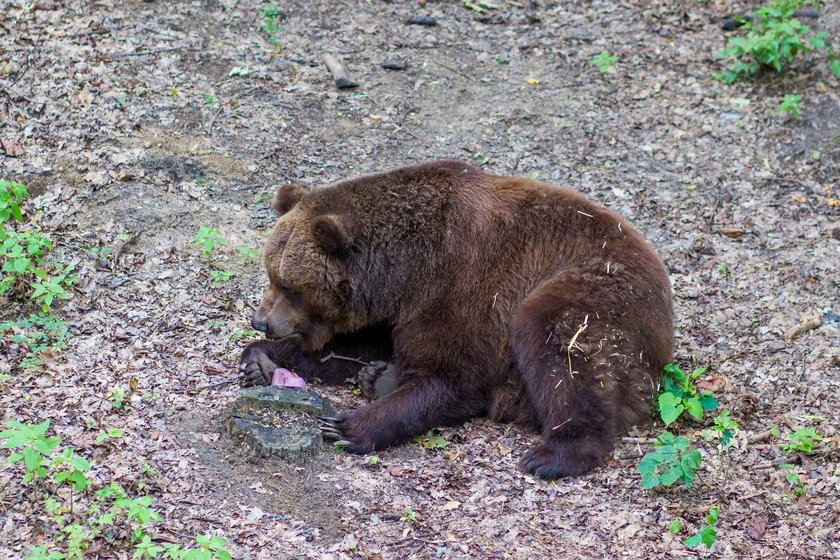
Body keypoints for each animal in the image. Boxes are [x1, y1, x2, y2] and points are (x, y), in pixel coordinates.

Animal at [240, 160, 672, 480]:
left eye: (290, 285)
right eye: (271, 273)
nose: (261, 322)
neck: (402, 270)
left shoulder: (464, 281)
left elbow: (454, 376)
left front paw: (347, 427)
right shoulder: (395, 310)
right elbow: (352, 347)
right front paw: (261, 359)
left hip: (595, 292)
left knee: (562, 348)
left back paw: (553, 455)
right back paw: (378, 376)